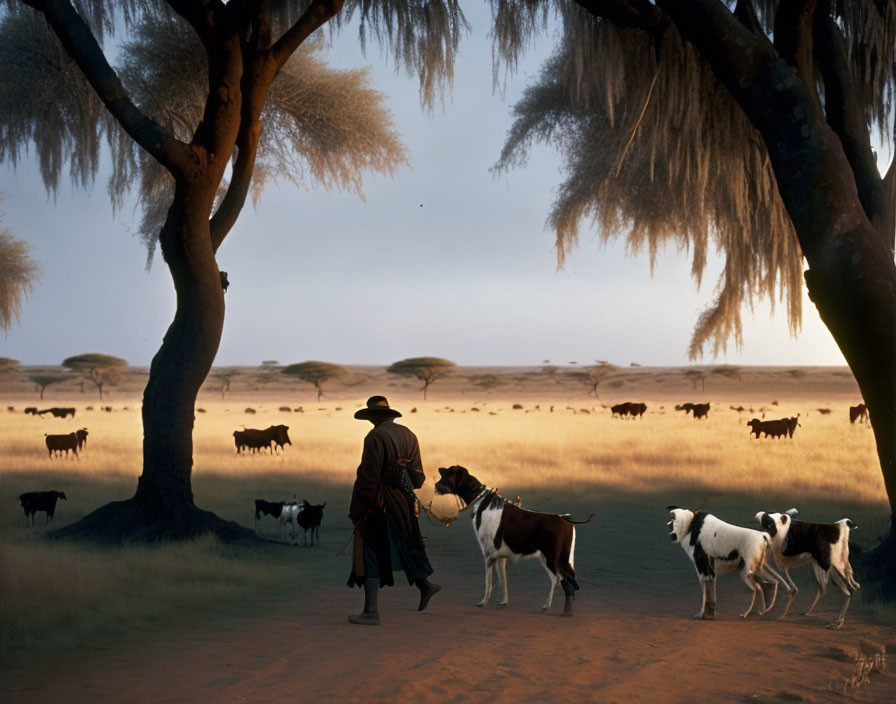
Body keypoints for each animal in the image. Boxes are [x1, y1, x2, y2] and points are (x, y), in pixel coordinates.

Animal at [436, 468, 596, 616]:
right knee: (569, 581)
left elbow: (489, 582)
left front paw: (483, 602)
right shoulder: (500, 557)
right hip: (563, 558)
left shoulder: (488, 555)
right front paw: (503, 602)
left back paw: (546, 606)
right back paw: (567, 611)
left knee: (556, 579)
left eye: (447, 474)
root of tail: (565, 519)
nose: (436, 485)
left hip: (551, 558)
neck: (483, 504)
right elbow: (503, 579)